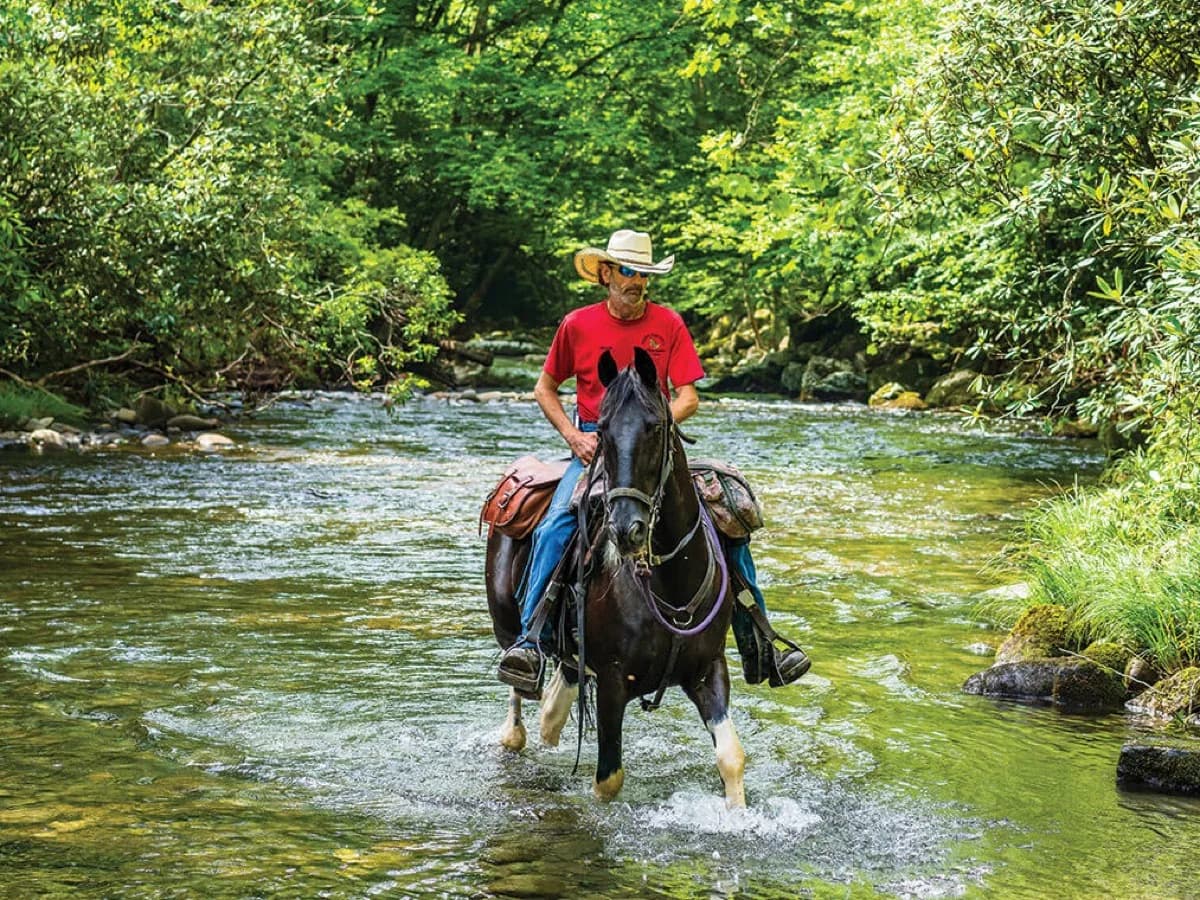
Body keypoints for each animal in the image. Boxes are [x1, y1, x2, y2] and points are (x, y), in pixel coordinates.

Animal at [485, 346, 746, 807]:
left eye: (655, 427)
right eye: (603, 431)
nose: (626, 529)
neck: (669, 582)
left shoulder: (708, 668)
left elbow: (731, 757)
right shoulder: (611, 681)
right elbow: (609, 779)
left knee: (555, 705)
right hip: (506, 626)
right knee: (519, 699)